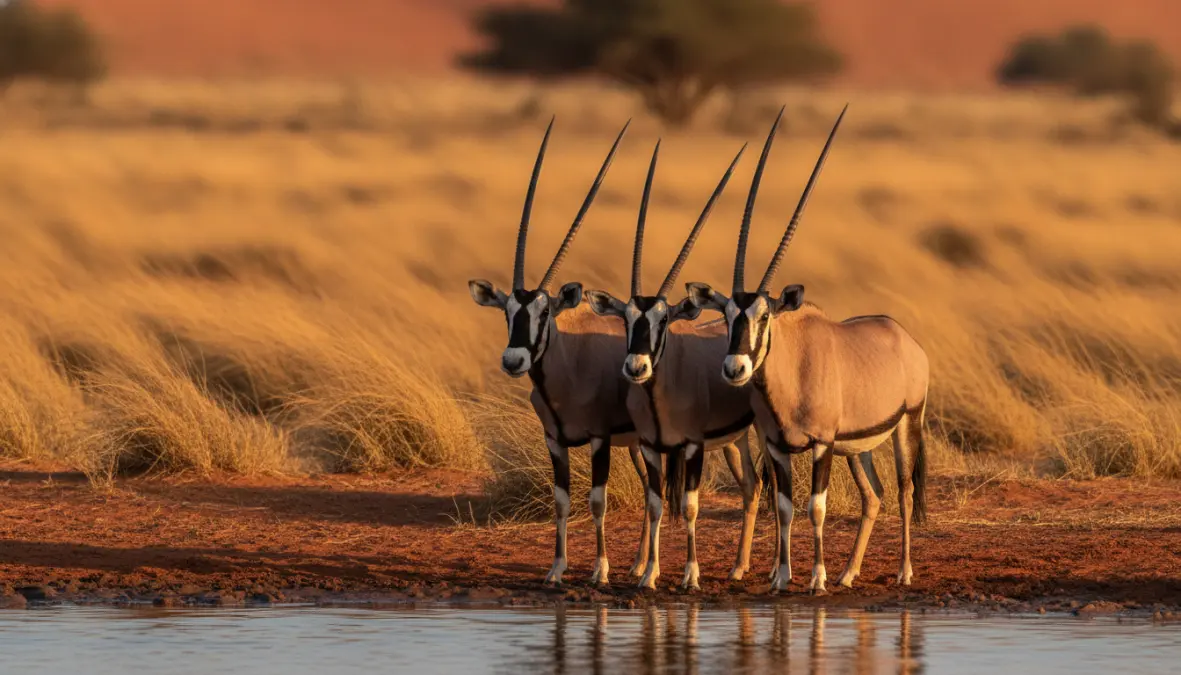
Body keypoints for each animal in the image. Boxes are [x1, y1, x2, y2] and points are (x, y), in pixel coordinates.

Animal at [468, 118, 651, 586]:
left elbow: (597, 501)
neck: (569, 369)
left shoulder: (599, 439)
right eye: (507, 311)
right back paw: (641, 564)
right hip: (637, 445)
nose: (514, 360)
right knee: (650, 489)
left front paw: (599, 570)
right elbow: (563, 501)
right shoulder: (555, 440)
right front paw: (556, 569)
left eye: (546, 310)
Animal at [585, 140, 767, 591]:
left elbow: (689, 506)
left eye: (663, 319)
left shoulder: (692, 447)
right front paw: (648, 574)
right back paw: (739, 566)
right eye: (626, 318)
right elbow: (655, 505)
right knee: (752, 486)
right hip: (734, 441)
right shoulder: (653, 448)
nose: (636, 367)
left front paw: (690, 575)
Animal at [686, 105, 930, 594]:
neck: (792, 371)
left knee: (904, 490)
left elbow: (816, 507)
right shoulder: (778, 446)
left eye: (765, 315)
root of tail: (905, 338)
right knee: (873, 496)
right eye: (726, 314)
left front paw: (815, 579)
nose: (734, 368)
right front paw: (781, 577)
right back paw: (849, 573)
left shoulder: (820, 445)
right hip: (857, 448)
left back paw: (903, 571)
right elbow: (784, 507)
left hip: (906, 425)